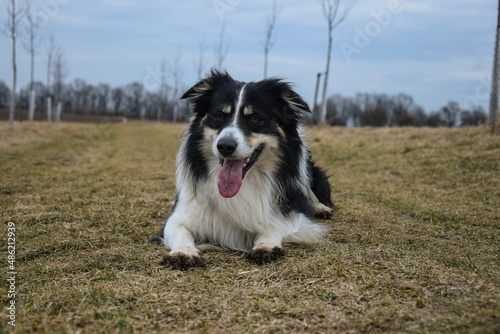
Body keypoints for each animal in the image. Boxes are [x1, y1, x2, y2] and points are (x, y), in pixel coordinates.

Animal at [151, 70, 332, 268]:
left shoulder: (293, 213)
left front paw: (265, 245)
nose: (225, 146)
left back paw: (322, 208)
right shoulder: (180, 215)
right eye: (220, 116)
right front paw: (184, 252)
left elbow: (276, 224)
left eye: (255, 118)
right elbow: (179, 230)